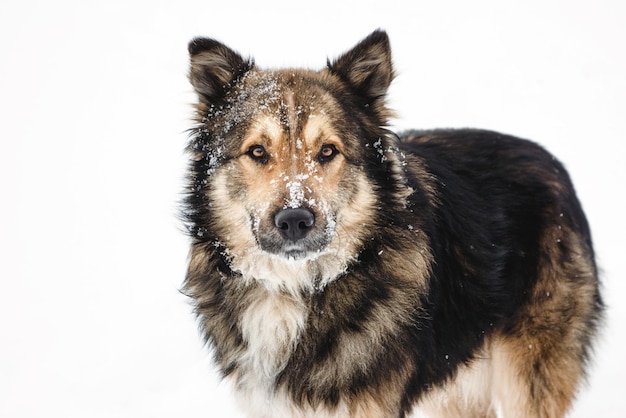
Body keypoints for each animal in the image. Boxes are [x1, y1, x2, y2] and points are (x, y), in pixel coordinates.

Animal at [180, 30, 600, 418]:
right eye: (257, 151)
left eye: (328, 151)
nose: (295, 220)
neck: (295, 289)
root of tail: (549, 161)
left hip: (526, 378)